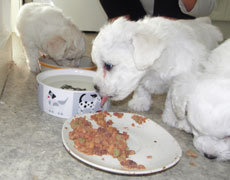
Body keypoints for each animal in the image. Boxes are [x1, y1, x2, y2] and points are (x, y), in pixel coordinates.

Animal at [91, 16, 223, 110]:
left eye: (108, 66)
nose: (96, 87)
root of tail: (204, 23)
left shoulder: (181, 75)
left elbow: (173, 98)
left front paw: (172, 118)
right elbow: (141, 88)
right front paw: (140, 102)